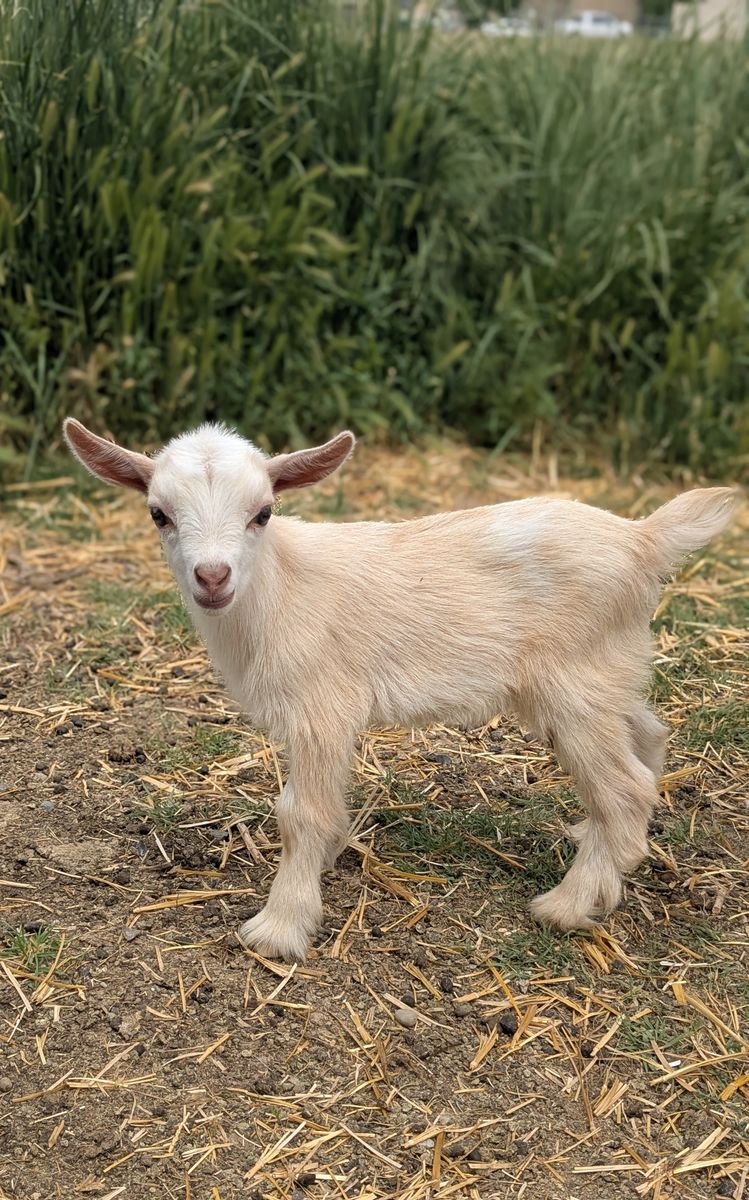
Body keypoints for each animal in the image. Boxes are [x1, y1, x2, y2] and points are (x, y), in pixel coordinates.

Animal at [63, 418, 737, 960]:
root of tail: (643, 540)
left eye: (263, 513)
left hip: (576, 685)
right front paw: (327, 860)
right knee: (648, 740)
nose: (212, 577)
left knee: (625, 787)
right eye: (159, 513)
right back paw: (603, 851)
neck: (278, 592)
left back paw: (570, 904)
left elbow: (300, 812)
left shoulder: (322, 707)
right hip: (606, 673)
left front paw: (280, 927)